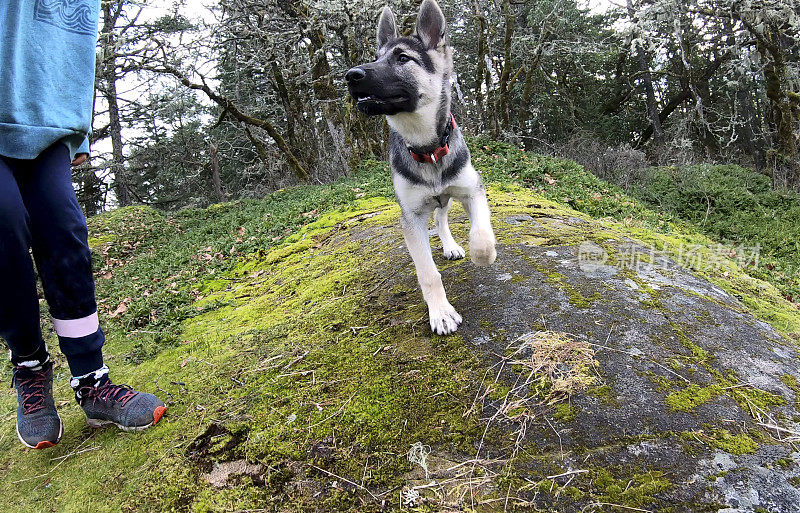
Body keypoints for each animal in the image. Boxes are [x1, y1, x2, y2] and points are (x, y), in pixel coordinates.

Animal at [346, 1, 496, 336]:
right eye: (376, 57)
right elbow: (428, 272)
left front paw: (484, 254)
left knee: (441, 219)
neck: (427, 148)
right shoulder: (411, 216)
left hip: (448, 197)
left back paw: (451, 245)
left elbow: (481, 233)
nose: (350, 75)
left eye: (402, 58)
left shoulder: (472, 189)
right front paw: (441, 312)